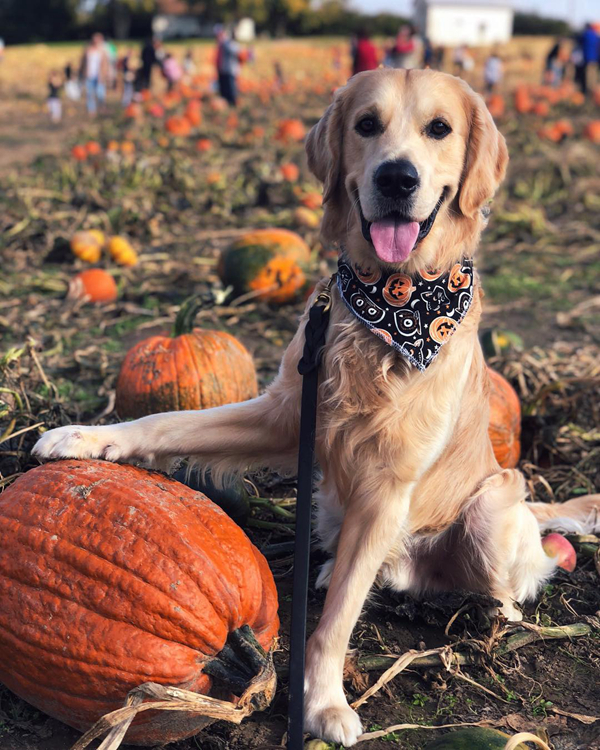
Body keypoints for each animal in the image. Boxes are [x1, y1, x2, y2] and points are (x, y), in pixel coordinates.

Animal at [34, 69, 600, 748]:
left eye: (440, 128)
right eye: (366, 125)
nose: (396, 177)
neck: (393, 299)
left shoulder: (388, 486)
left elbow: (335, 623)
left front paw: (324, 702)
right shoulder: (285, 414)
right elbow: (165, 422)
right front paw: (84, 437)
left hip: (490, 510)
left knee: (521, 576)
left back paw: (490, 607)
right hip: (332, 504)